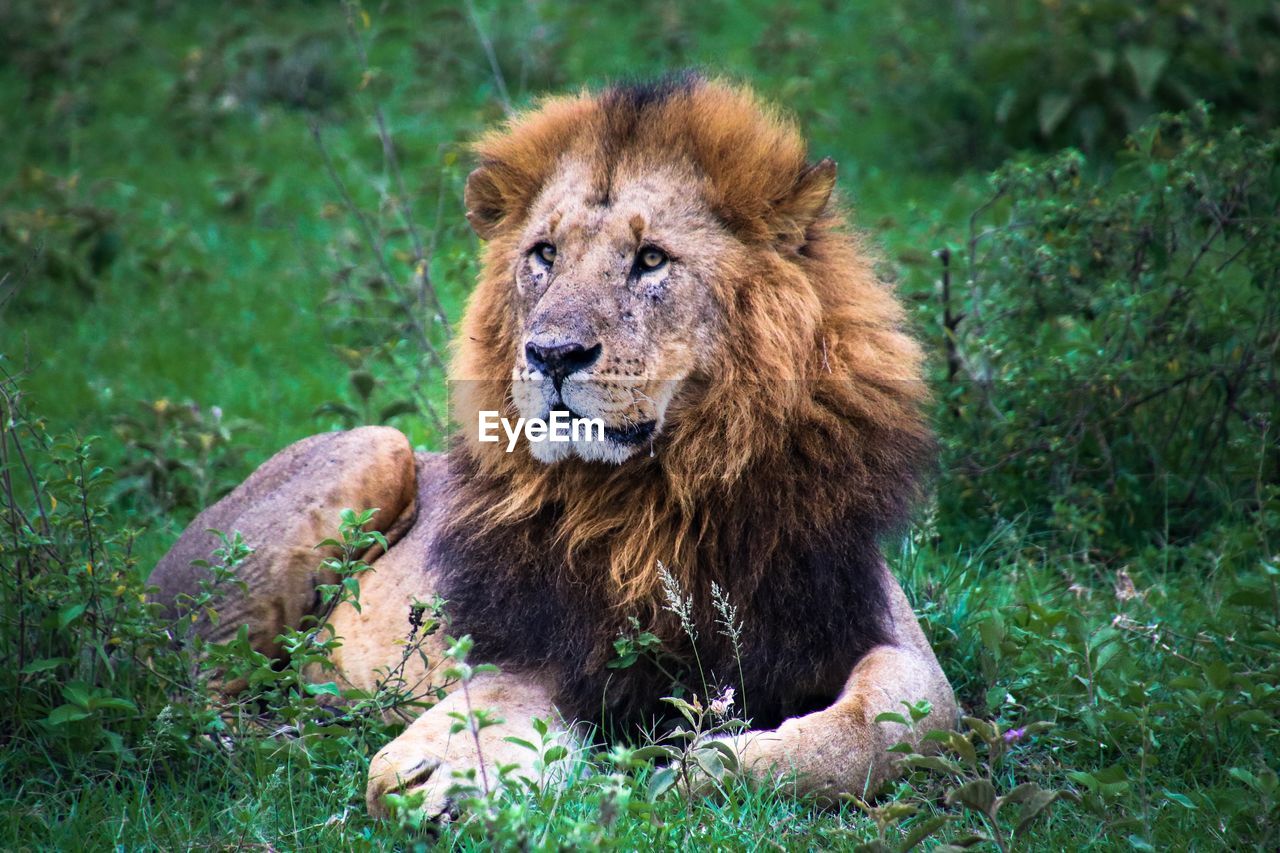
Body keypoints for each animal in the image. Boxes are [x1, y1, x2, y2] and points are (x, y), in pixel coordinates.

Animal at [149, 73, 957, 819]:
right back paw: (296, 734)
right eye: (543, 253)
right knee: (186, 691)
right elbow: (503, 696)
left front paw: (709, 765)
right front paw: (448, 771)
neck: (661, 491)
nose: (552, 353)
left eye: (651, 259)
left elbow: (893, 727)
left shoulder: (873, 624)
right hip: (372, 452)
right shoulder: (546, 636)